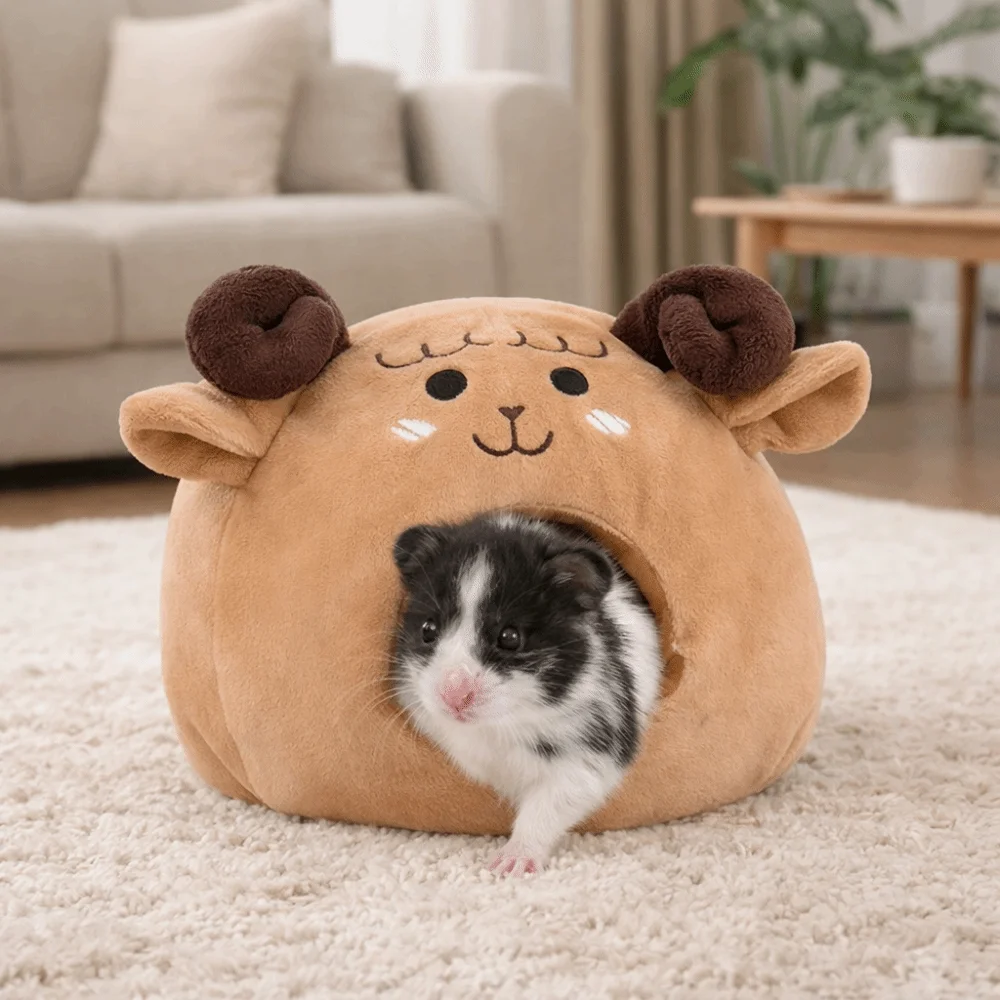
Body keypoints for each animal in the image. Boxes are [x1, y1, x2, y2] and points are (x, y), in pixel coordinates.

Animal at [391, 512, 662, 876]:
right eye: (427, 630)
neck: (498, 722)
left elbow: (545, 808)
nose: (453, 697)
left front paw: (508, 866)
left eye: (510, 637)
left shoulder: (590, 756)